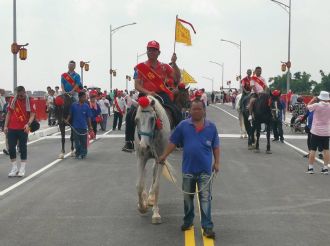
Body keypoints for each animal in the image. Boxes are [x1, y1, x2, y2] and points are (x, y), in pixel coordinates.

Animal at [135, 96, 175, 225]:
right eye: (136, 120)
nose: (144, 146)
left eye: (152, 119)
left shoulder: (161, 159)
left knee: (153, 172)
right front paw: (142, 207)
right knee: (146, 173)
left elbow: (157, 185)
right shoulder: (141, 158)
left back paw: (151, 199)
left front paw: (156, 213)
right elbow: (139, 185)